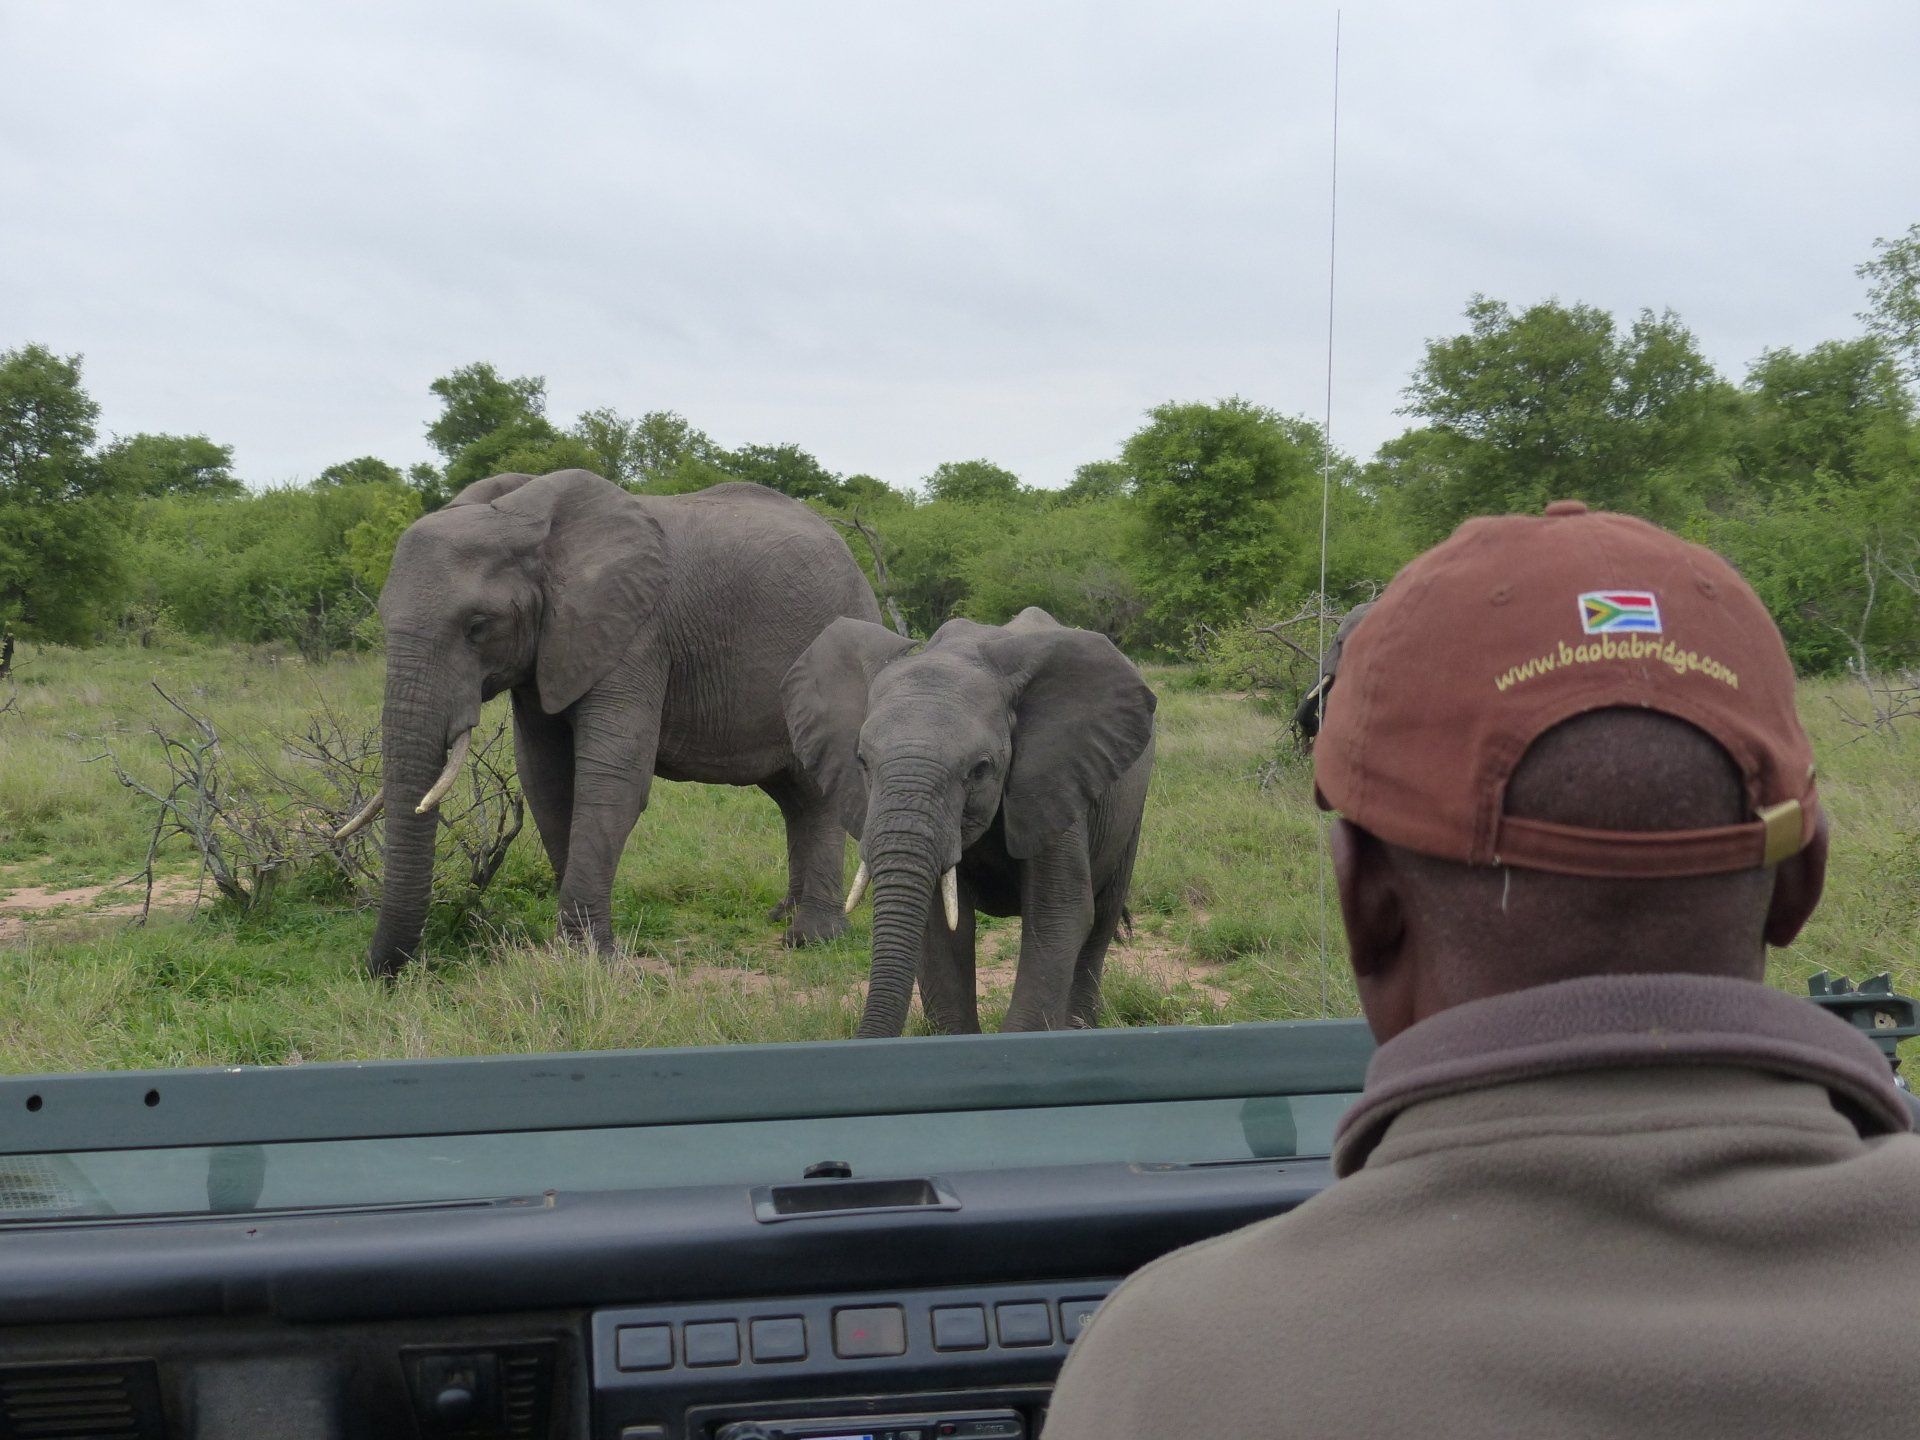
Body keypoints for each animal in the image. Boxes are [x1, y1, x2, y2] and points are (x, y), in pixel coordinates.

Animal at [341, 469, 882, 977]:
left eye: (478, 626)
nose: (375, 971)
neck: (535, 530)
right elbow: (545, 778)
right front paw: (572, 953)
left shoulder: (636, 633)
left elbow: (612, 780)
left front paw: (587, 960)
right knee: (790, 796)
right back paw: (780, 915)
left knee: (815, 790)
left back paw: (811, 938)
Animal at [783, 606, 1156, 1037]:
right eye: (862, 761)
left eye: (980, 770)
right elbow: (939, 930)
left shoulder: (1052, 783)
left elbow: (1059, 915)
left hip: (1129, 809)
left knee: (1101, 923)